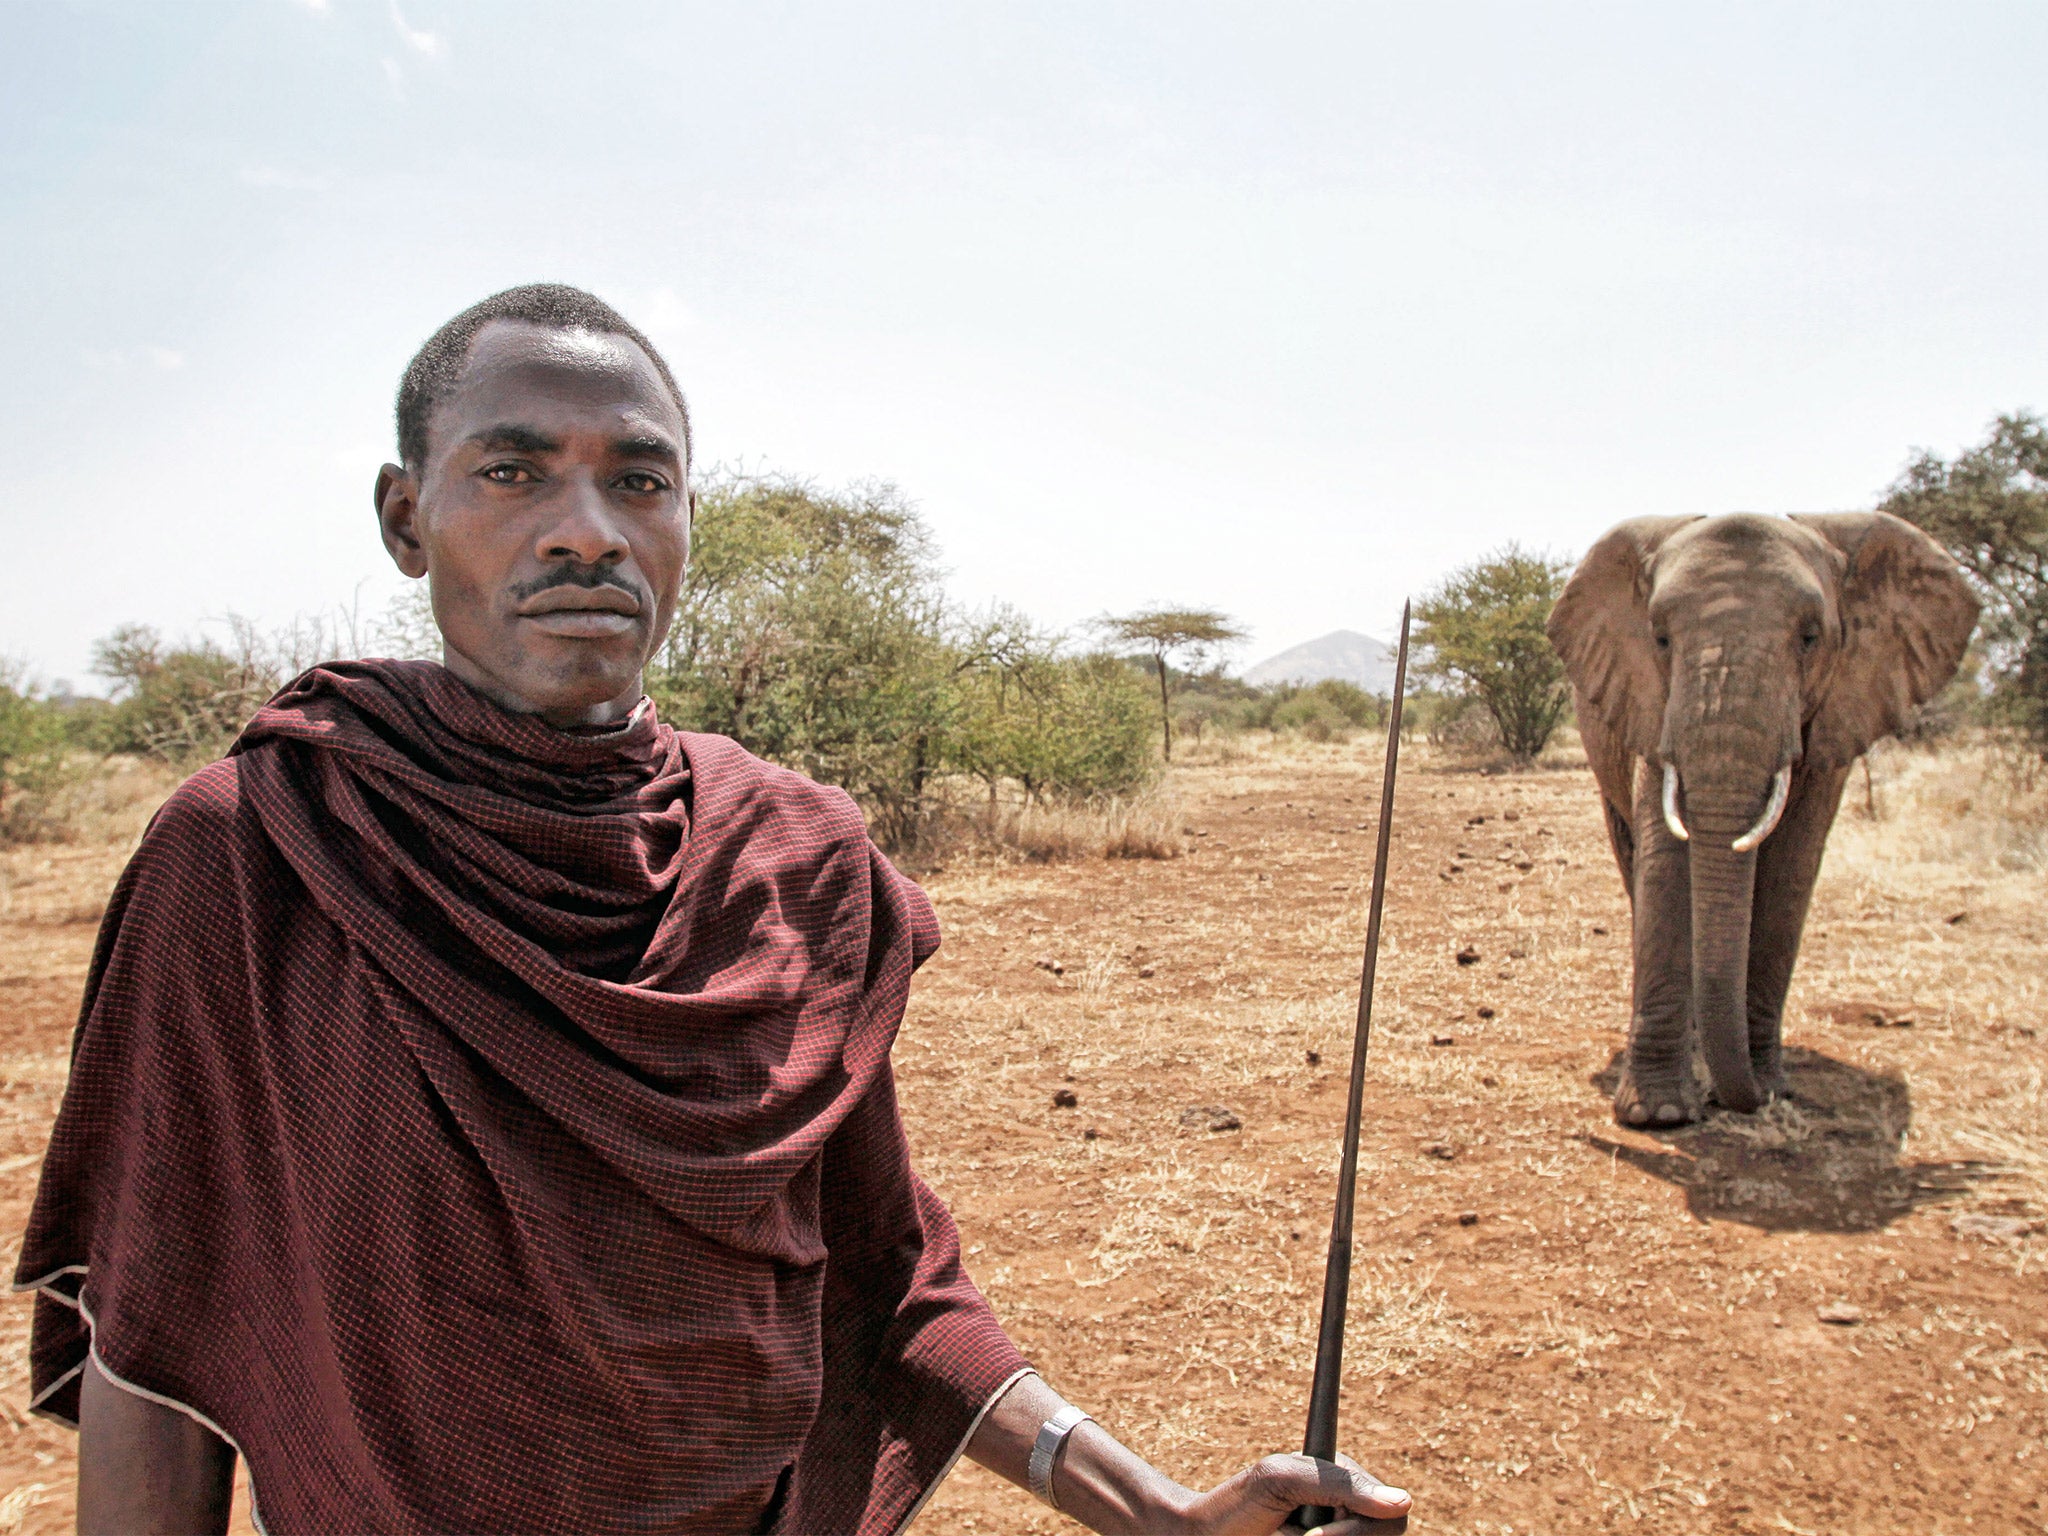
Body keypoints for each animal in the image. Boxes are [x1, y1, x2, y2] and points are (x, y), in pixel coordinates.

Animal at [1548, 518, 1982, 1130]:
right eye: (1660, 638)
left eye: (1810, 638)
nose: (1750, 1097)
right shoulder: (1650, 705)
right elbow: (1666, 865)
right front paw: (1659, 1116)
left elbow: (1790, 869)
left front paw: (1768, 1086)